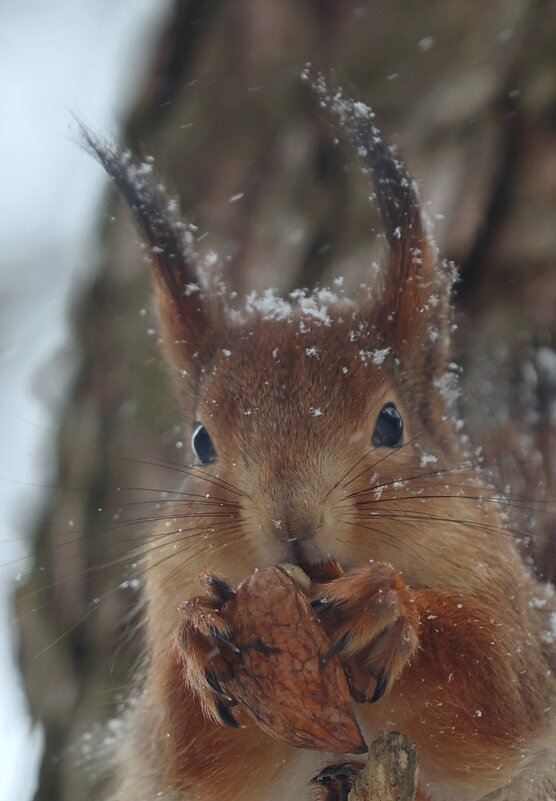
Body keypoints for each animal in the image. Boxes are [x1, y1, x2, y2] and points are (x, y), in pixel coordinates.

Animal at [83, 70, 556, 800]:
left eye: (390, 422)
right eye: (200, 442)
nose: (292, 520)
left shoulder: (516, 615)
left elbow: (493, 689)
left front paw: (385, 610)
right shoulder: (168, 605)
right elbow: (184, 747)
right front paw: (201, 633)